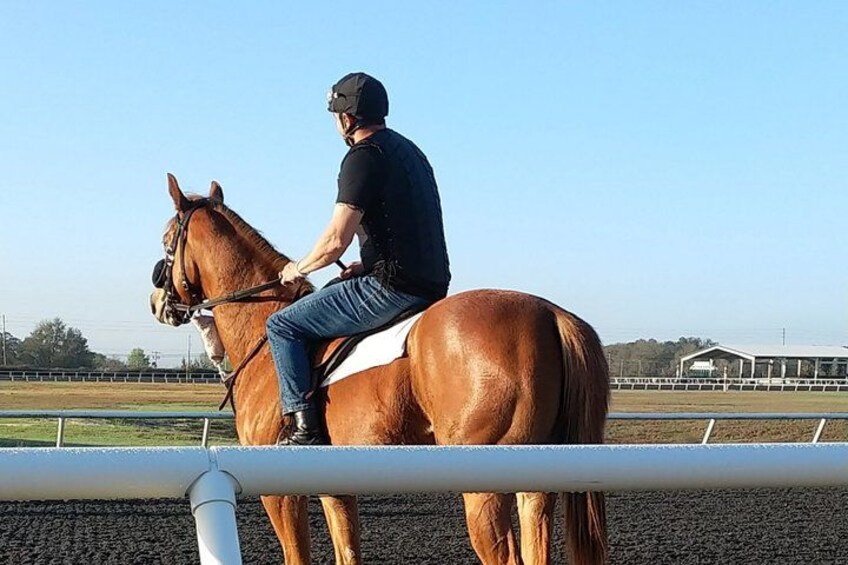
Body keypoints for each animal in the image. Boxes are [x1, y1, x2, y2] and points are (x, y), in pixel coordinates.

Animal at [149, 174, 610, 565]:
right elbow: (347, 553)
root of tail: (551, 313)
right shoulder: (336, 487)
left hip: (486, 488)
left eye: (167, 238)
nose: (156, 302)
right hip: (538, 482)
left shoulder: (280, 493)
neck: (263, 328)